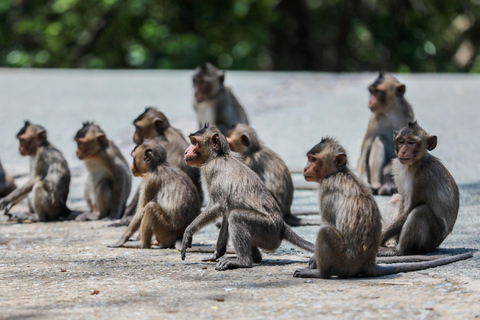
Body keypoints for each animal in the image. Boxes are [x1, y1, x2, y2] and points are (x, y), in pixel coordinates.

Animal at [180, 125, 316, 270]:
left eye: (194, 142)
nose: (186, 151)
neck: (218, 156)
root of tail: (282, 225)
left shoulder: (211, 169)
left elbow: (218, 205)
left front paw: (188, 231)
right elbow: (225, 212)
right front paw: (216, 254)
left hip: (268, 230)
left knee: (236, 216)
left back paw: (243, 262)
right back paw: (252, 258)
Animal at [292, 137, 472, 278]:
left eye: (313, 160)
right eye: (309, 158)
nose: (305, 168)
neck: (337, 172)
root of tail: (367, 264)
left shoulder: (327, 188)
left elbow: (329, 222)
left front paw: (315, 262)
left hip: (344, 261)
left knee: (326, 231)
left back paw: (321, 273)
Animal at [378, 121, 462, 256]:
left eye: (411, 142)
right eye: (401, 141)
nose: (403, 151)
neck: (413, 165)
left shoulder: (423, 177)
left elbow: (410, 209)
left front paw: (380, 238)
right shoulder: (398, 167)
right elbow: (402, 200)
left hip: (431, 240)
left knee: (420, 210)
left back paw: (399, 250)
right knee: (396, 198)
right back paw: (393, 243)